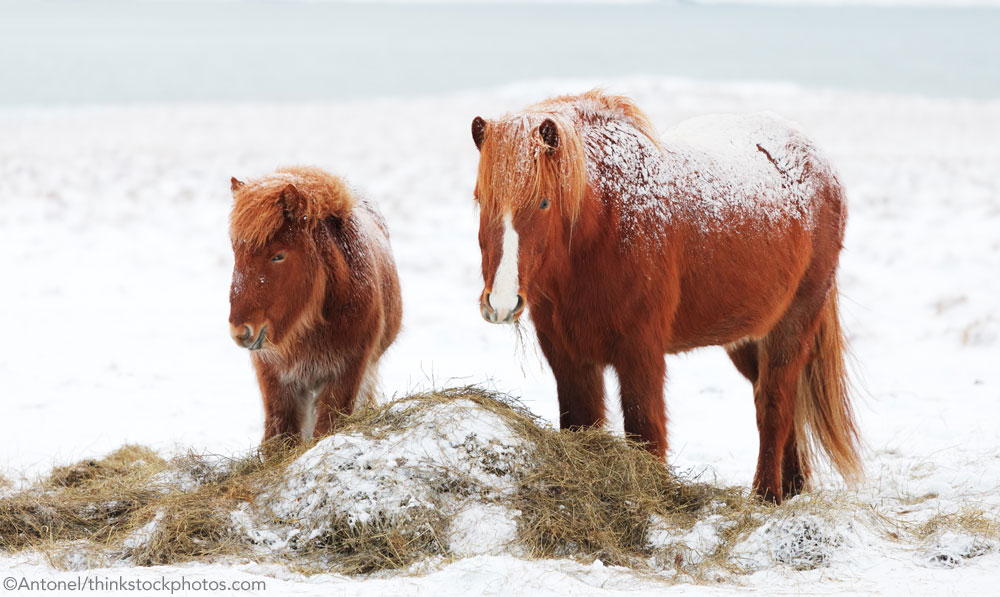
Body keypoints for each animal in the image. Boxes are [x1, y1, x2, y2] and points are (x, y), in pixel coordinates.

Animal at [228, 166, 402, 446]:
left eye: (278, 255)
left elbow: (325, 429)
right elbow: (280, 437)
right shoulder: (277, 381)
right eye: (236, 253)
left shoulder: (345, 373)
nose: (241, 331)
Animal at [470, 91, 861, 503]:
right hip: (748, 337)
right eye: (480, 199)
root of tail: (817, 159)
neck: (607, 225)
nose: (501, 303)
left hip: (792, 324)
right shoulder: (569, 357)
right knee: (776, 401)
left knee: (775, 403)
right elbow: (580, 424)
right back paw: (793, 487)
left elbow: (646, 431)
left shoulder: (640, 353)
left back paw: (766, 495)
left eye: (544, 202)